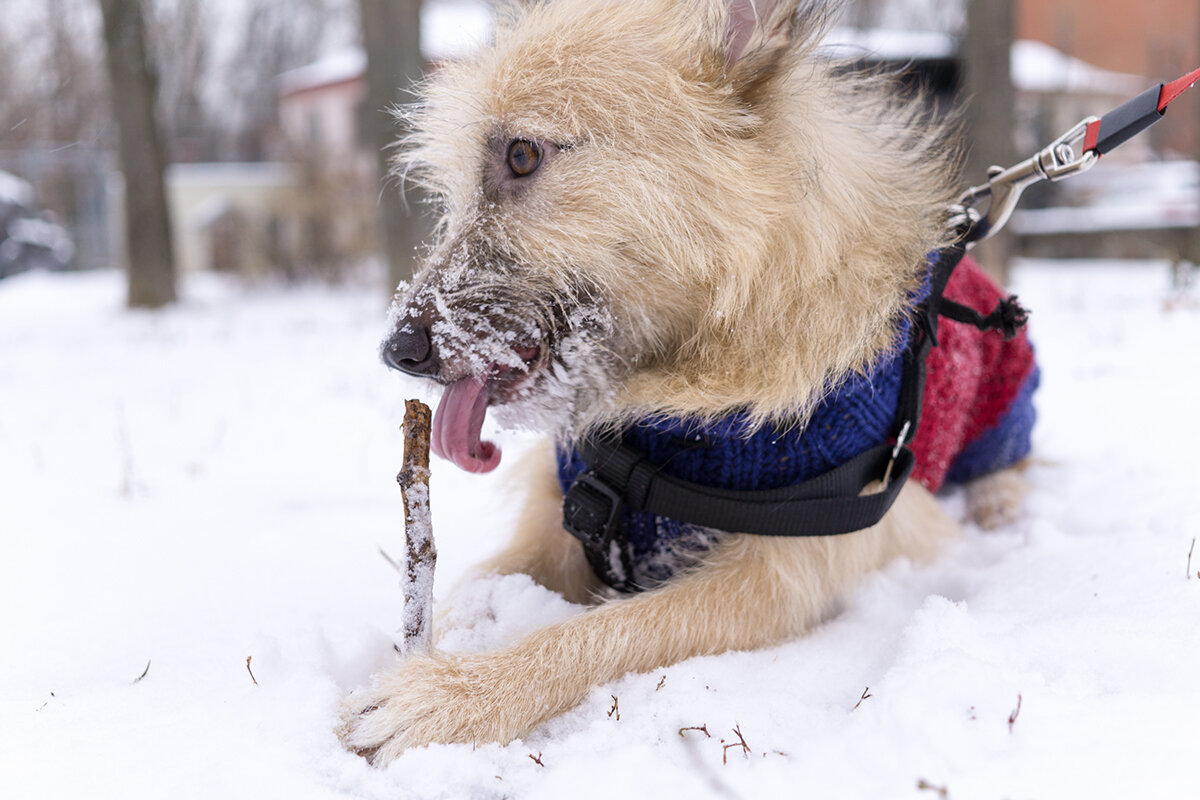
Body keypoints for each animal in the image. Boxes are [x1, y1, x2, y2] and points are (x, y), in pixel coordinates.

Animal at [338, 0, 1041, 767]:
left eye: (522, 155)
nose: (397, 351)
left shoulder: (784, 574)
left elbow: (601, 632)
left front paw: (454, 697)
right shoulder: (559, 515)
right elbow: (480, 583)